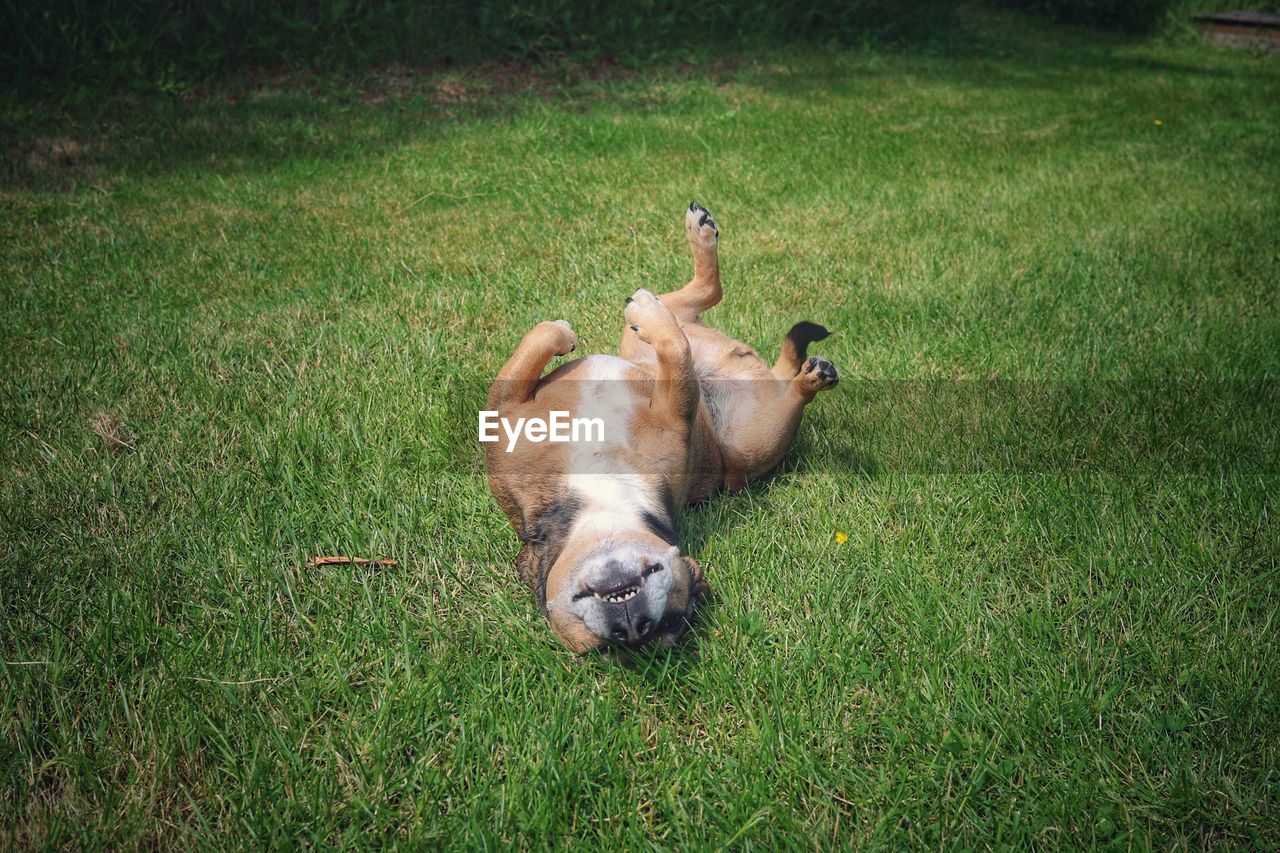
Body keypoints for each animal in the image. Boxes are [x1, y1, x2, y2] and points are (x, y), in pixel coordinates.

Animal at [483, 201, 834, 650]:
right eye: (604, 650)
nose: (634, 627)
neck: (597, 495)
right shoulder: (674, 417)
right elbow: (678, 361)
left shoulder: (505, 413)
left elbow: (536, 343)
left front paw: (561, 333)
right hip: (753, 443)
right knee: (775, 380)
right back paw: (810, 378)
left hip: (637, 340)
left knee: (697, 298)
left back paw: (697, 237)